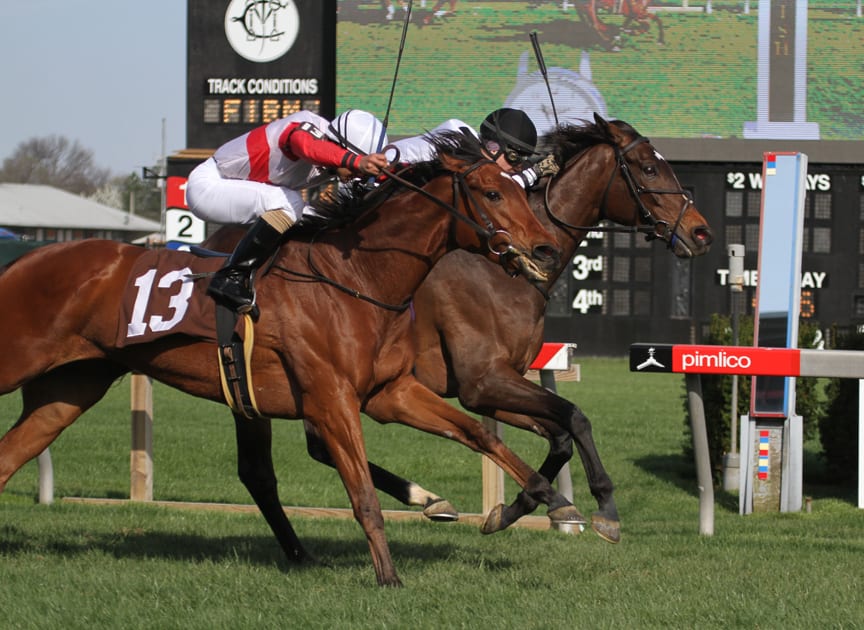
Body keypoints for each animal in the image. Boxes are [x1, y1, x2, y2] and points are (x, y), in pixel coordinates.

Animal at [0, 132, 580, 588]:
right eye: (492, 192)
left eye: (521, 188)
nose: (546, 249)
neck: (356, 278)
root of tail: (26, 256)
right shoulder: (332, 398)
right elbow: (363, 495)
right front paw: (389, 577)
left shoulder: (390, 392)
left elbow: (478, 433)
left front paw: (547, 501)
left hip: (68, 390)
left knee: (9, 458)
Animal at [286, 113, 712, 544]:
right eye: (649, 168)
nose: (701, 232)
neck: (502, 272)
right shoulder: (483, 380)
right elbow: (575, 416)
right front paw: (604, 508)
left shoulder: (490, 390)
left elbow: (559, 437)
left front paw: (517, 509)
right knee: (322, 446)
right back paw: (427, 498)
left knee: (320, 447)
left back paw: (430, 499)